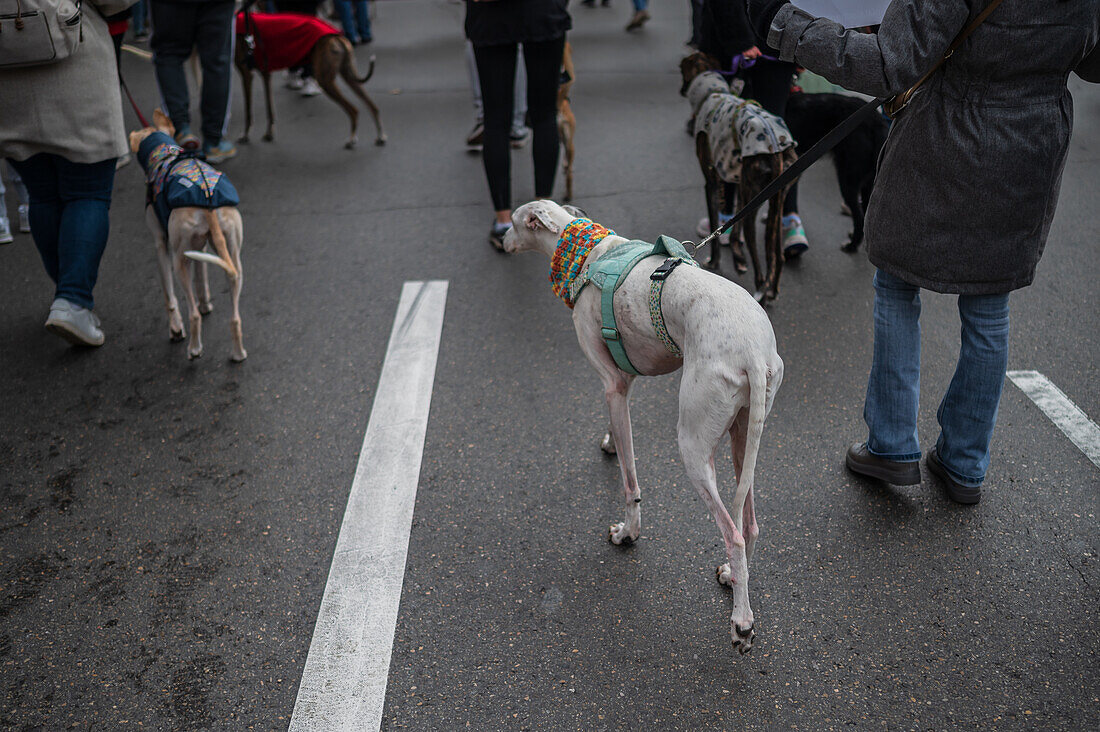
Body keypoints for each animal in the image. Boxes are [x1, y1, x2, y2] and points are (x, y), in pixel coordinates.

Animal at [234, 14, 385, 149]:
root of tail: (337, 36)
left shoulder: (246, 74)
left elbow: (248, 110)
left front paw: (245, 135)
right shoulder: (266, 73)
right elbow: (270, 109)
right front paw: (269, 134)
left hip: (325, 80)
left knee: (354, 110)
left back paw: (352, 139)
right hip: (348, 75)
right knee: (373, 106)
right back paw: (380, 137)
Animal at [503, 198, 783, 651]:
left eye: (513, 222)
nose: (500, 241)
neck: (588, 254)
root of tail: (754, 354)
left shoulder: (613, 383)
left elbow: (630, 480)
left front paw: (628, 533)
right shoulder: (622, 380)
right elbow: (617, 433)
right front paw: (609, 441)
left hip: (693, 446)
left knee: (734, 532)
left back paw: (741, 623)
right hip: (745, 435)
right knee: (751, 523)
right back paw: (732, 576)